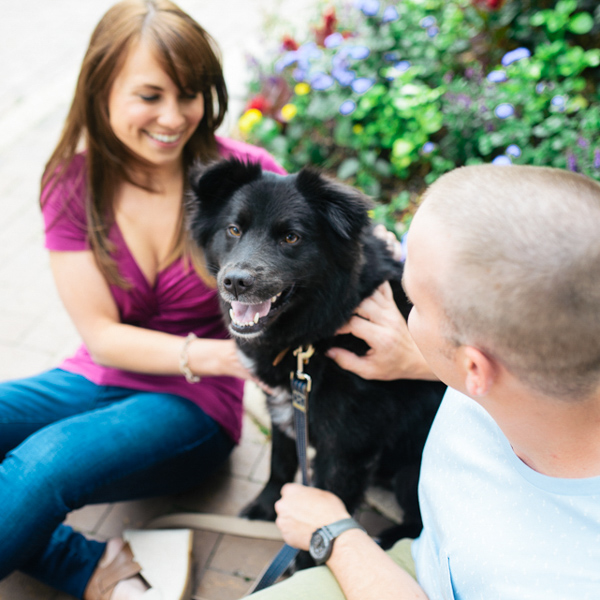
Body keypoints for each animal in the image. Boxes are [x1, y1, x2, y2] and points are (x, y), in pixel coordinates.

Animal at [188, 159, 446, 548]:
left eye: (291, 237)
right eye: (234, 229)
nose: (234, 282)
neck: (312, 335)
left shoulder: (346, 447)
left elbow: (329, 506)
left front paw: (305, 557)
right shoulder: (285, 406)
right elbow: (279, 463)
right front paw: (265, 506)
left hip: (412, 472)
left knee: (419, 524)